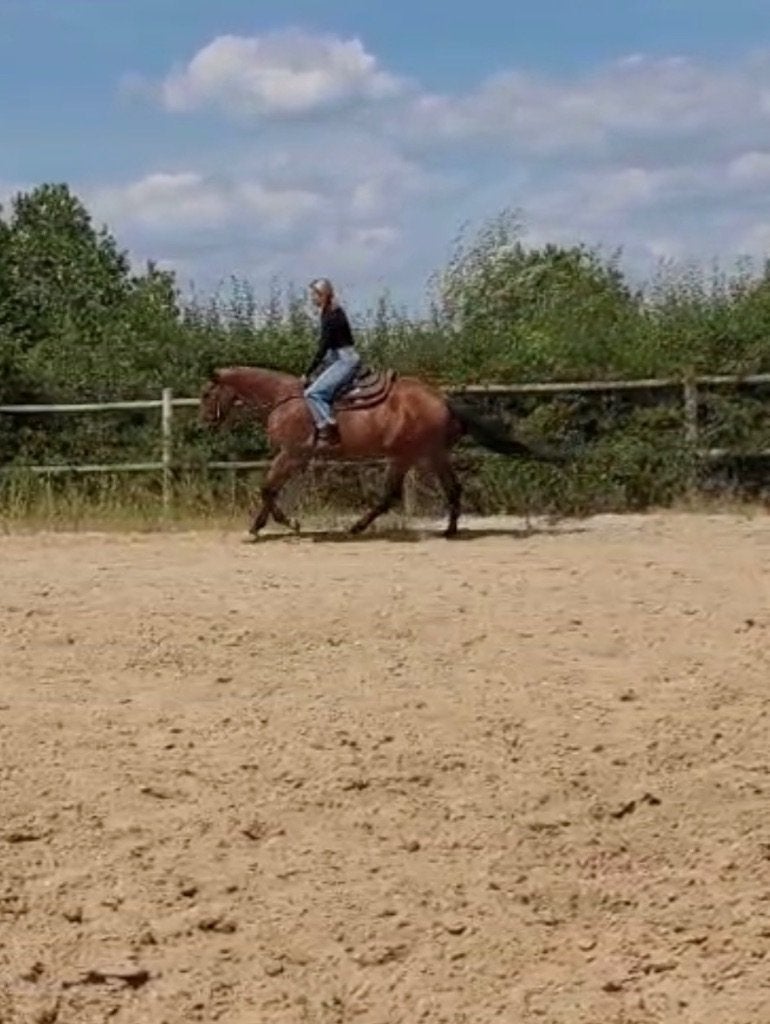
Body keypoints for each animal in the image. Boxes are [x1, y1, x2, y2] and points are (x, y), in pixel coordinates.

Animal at [198, 364, 569, 539]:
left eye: (205, 394)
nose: (204, 423)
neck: (284, 399)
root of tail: (441, 399)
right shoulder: (294, 458)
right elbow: (271, 490)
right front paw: (261, 525)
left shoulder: (291, 454)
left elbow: (267, 489)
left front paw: (285, 524)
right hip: (429, 455)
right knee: (451, 489)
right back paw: (449, 530)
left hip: (406, 457)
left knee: (391, 496)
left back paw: (359, 527)